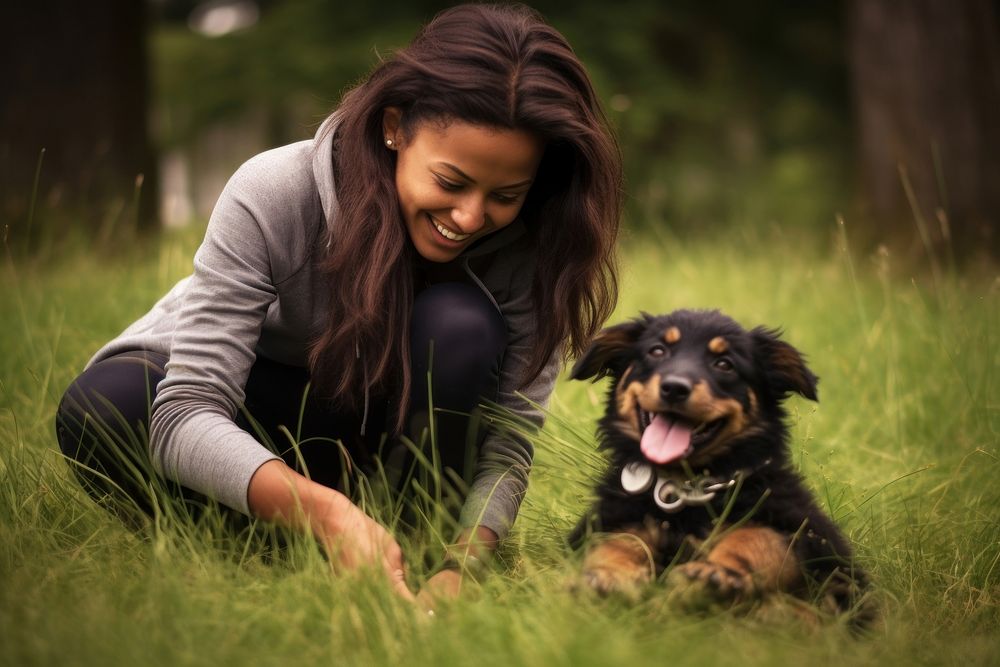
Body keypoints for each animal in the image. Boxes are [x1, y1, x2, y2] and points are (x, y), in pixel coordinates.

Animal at [576, 310, 872, 624]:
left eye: (724, 364)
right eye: (657, 351)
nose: (674, 388)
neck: (684, 489)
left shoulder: (803, 534)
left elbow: (753, 536)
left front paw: (716, 573)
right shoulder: (617, 518)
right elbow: (618, 542)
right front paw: (606, 577)